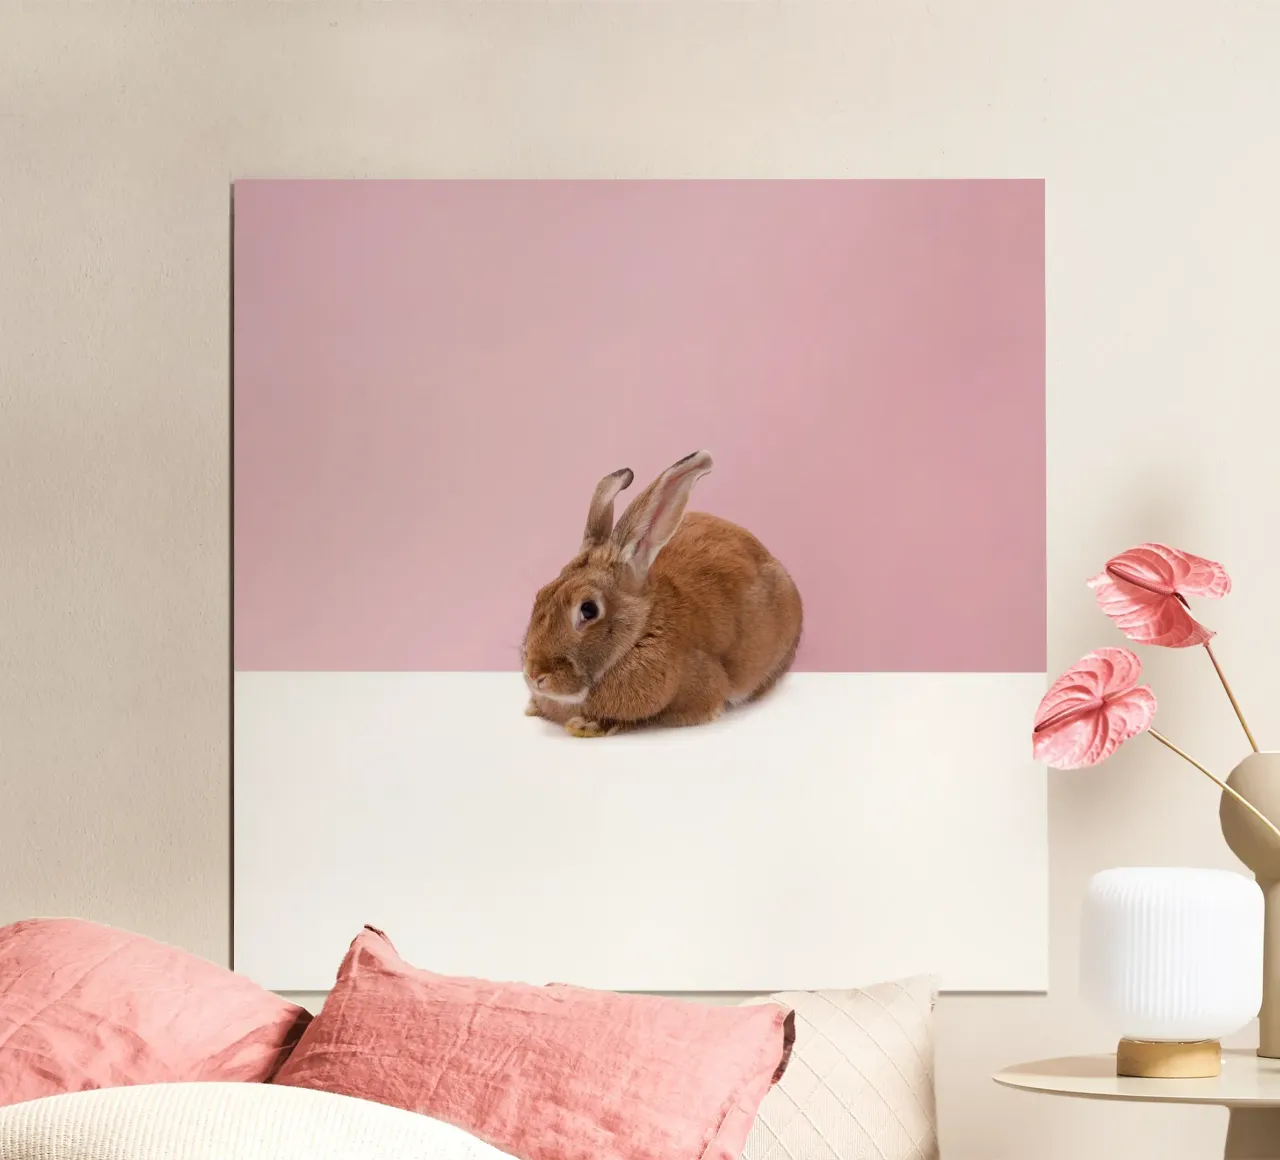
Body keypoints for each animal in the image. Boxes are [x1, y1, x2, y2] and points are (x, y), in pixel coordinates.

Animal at [521, 450, 803, 738]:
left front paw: (586, 725)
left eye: (588, 610)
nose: (535, 674)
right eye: (541, 595)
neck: (639, 633)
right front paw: (534, 707)